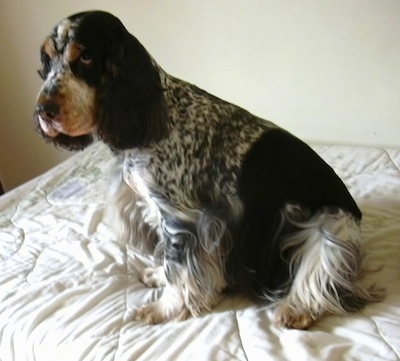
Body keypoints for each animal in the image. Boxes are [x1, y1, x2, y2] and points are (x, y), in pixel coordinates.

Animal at [33, 11, 382, 328]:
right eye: (46, 62)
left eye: (86, 57)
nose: (42, 111)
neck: (153, 116)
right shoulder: (160, 209)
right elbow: (169, 261)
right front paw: (157, 276)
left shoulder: (182, 218)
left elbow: (178, 267)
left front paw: (163, 308)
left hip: (329, 225)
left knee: (323, 282)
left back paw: (295, 310)